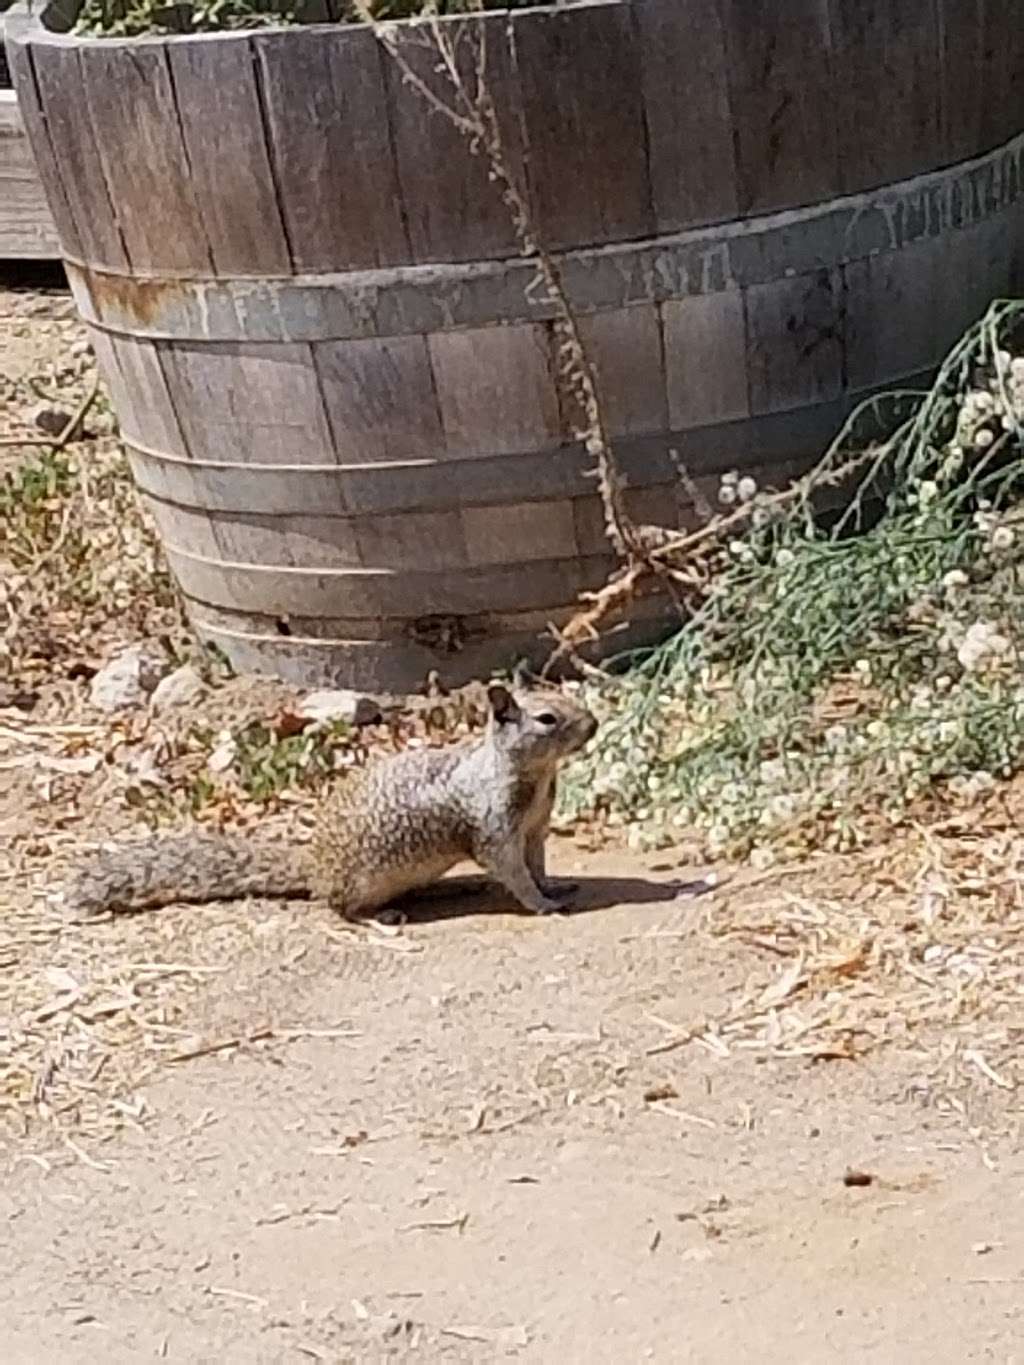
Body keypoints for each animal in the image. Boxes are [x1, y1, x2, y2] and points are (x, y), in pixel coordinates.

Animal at [64, 687, 598, 922]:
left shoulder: (534, 828)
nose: (592, 725)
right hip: (357, 883)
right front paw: (543, 905)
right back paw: (381, 917)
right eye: (547, 718)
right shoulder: (496, 829)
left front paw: (555, 886)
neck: (533, 775)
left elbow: (536, 864)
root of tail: (314, 866)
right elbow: (513, 873)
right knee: (338, 908)